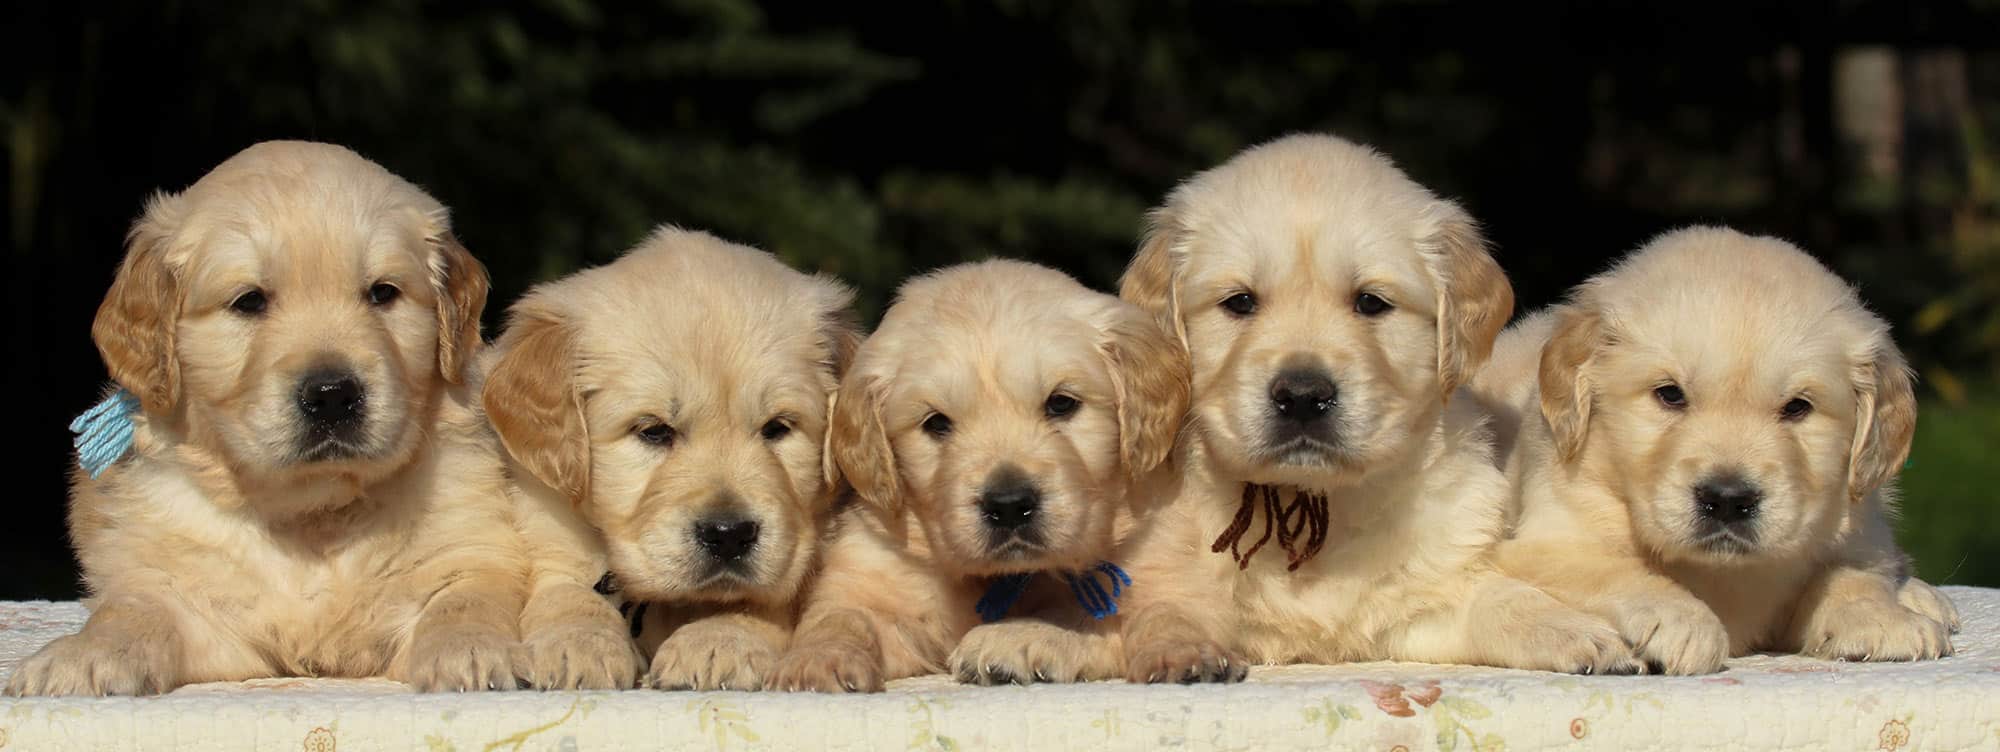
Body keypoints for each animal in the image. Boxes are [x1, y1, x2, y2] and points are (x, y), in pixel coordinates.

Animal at [1, 138, 532, 696]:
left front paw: (472, 650)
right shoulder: (189, 605)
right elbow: (131, 612)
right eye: (249, 301)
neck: (312, 516)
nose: (332, 395)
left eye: (383, 293)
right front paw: (83, 656)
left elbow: (464, 598)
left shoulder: (470, 550)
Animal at [490, 226, 860, 692]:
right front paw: (579, 641)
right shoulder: (551, 528)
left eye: (777, 428)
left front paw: (719, 640)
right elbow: (566, 588)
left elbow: (763, 600)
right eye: (654, 431)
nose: (729, 534)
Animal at [768, 260, 1184, 692]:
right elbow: (844, 617)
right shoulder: (875, 575)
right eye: (936, 423)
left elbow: (1107, 621)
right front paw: (820, 657)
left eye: (1061, 403)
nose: (1010, 505)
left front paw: (1020, 638)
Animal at [1112, 134, 1640, 680]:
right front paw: (1184, 649)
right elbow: (1166, 602)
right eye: (1239, 302)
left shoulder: (1434, 595)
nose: (1303, 397)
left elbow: (1502, 599)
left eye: (1370, 302)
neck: (1318, 503)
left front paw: (1577, 632)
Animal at [1480, 226, 1960, 672]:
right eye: (1670, 394)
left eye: (1797, 407)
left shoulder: (1860, 528)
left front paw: (1879, 618)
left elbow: (1851, 572)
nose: (1728, 500)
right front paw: (1684, 623)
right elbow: (1613, 568)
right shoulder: (1541, 542)